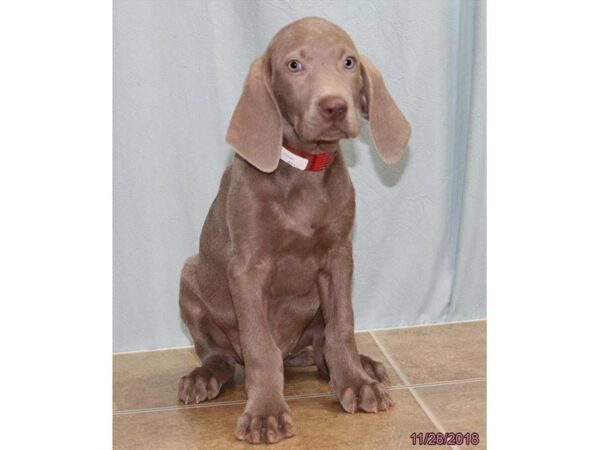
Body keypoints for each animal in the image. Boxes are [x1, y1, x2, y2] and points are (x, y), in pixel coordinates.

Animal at [178, 16, 410, 442]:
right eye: (294, 65)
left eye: (349, 62)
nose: (335, 106)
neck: (304, 167)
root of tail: (294, 354)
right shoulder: (248, 269)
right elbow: (259, 347)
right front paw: (265, 411)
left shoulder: (338, 258)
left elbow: (342, 327)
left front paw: (355, 383)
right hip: (189, 275)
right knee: (222, 357)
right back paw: (204, 377)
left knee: (321, 346)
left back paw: (359, 366)